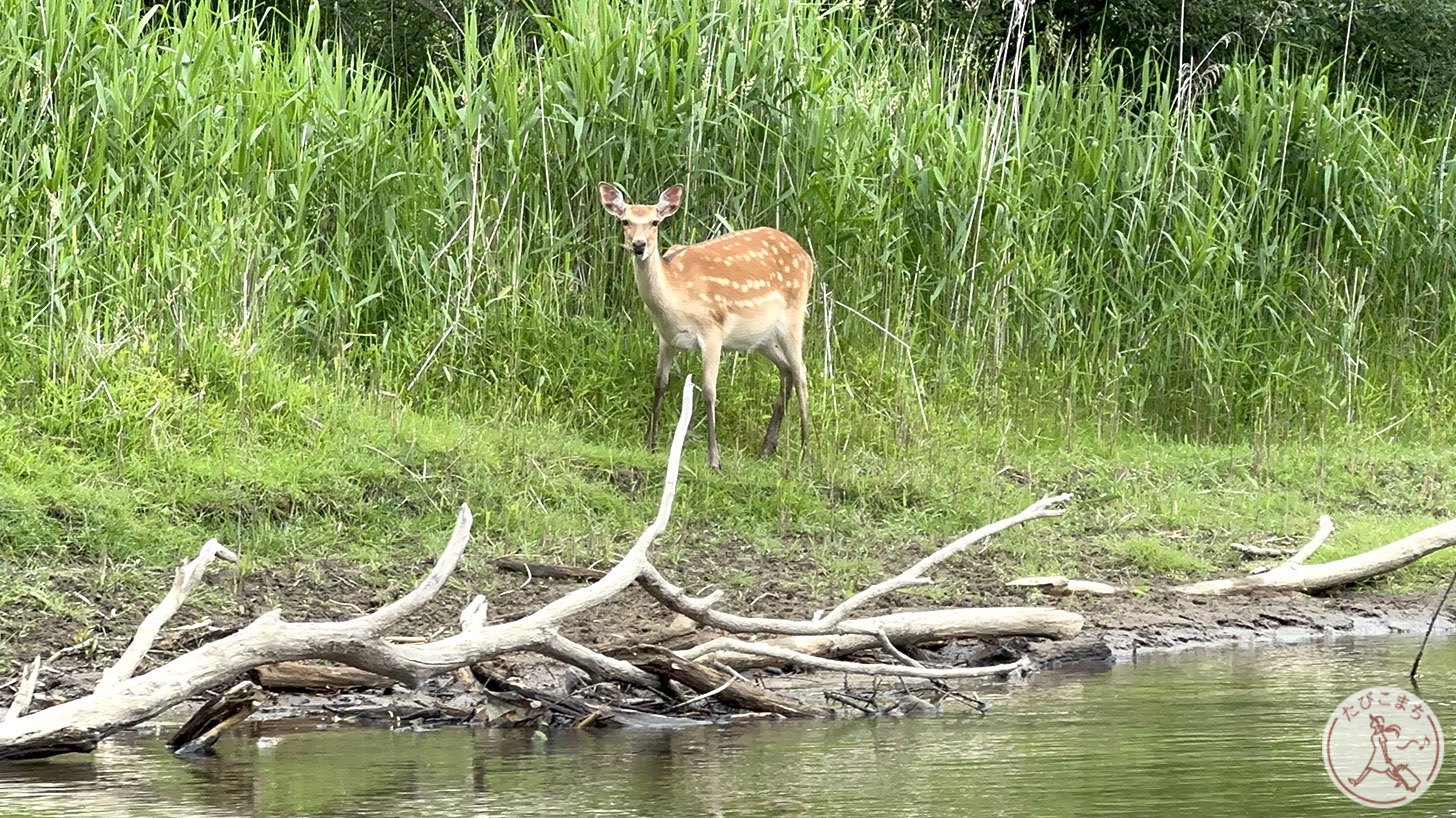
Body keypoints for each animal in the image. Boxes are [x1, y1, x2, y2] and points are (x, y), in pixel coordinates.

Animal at [596, 180, 815, 468]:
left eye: (655, 222)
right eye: (625, 221)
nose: (639, 246)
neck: (676, 299)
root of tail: (807, 257)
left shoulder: (712, 330)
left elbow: (709, 391)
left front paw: (714, 460)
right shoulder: (666, 338)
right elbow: (659, 383)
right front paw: (650, 445)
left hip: (794, 314)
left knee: (801, 372)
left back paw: (806, 452)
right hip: (762, 338)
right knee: (787, 369)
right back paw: (767, 448)